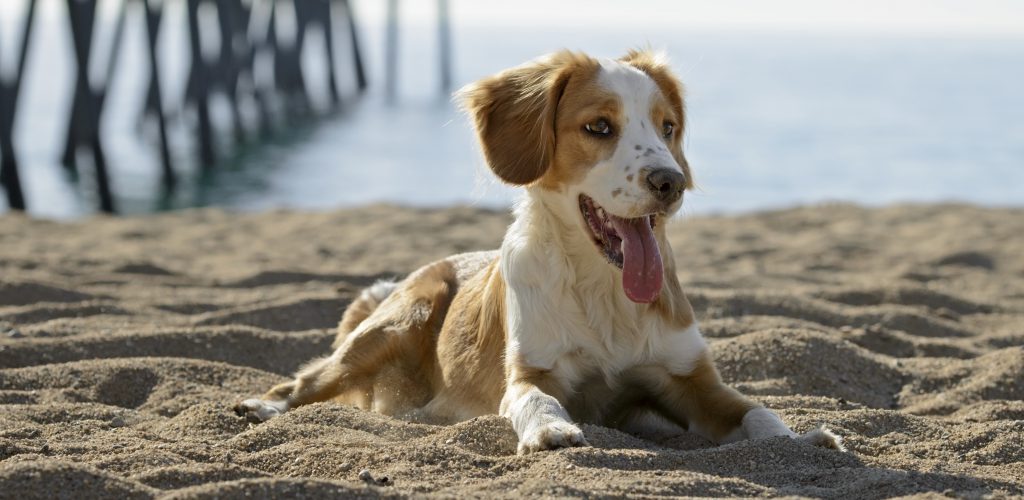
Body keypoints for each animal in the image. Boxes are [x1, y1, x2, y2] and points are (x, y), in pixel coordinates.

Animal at [235, 49, 843, 452]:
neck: (603, 291)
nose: (671, 182)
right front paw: (551, 429)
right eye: (599, 127)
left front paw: (804, 436)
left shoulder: (690, 381)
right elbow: (534, 399)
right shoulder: (533, 370)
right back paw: (261, 406)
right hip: (400, 319)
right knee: (306, 380)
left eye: (668, 128)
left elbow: (758, 411)